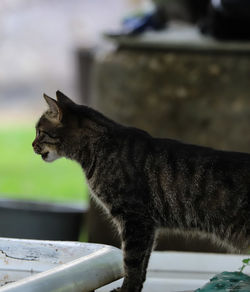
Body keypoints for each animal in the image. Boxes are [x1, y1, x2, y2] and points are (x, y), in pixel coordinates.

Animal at [33, 91, 250, 292]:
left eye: (40, 132)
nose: (32, 145)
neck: (98, 147)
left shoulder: (134, 219)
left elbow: (132, 261)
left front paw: (126, 289)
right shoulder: (147, 225)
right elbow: (143, 263)